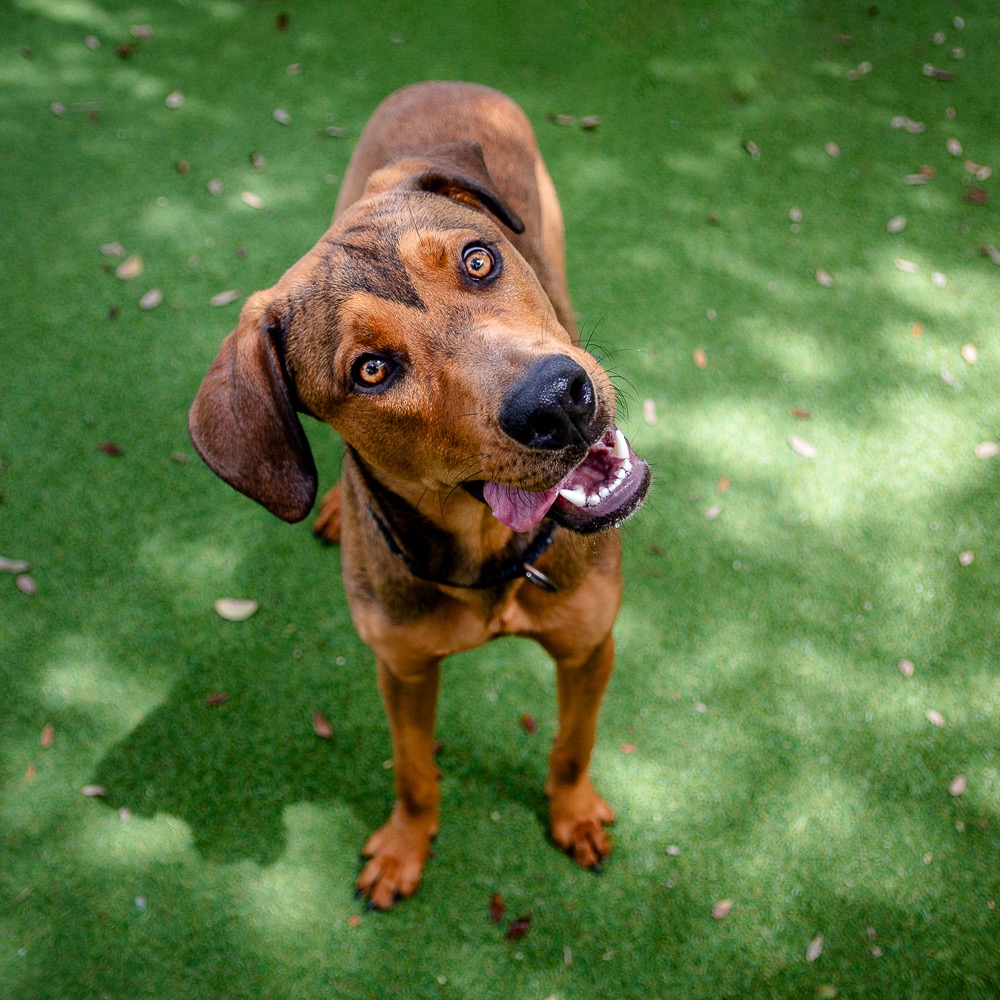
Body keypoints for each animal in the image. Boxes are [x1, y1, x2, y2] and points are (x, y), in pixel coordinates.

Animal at [189, 81, 650, 909]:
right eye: (371, 370)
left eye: (479, 260)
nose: (558, 400)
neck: (491, 557)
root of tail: (439, 84)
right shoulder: (401, 671)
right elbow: (413, 773)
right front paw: (406, 848)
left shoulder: (589, 646)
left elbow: (572, 746)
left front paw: (572, 815)